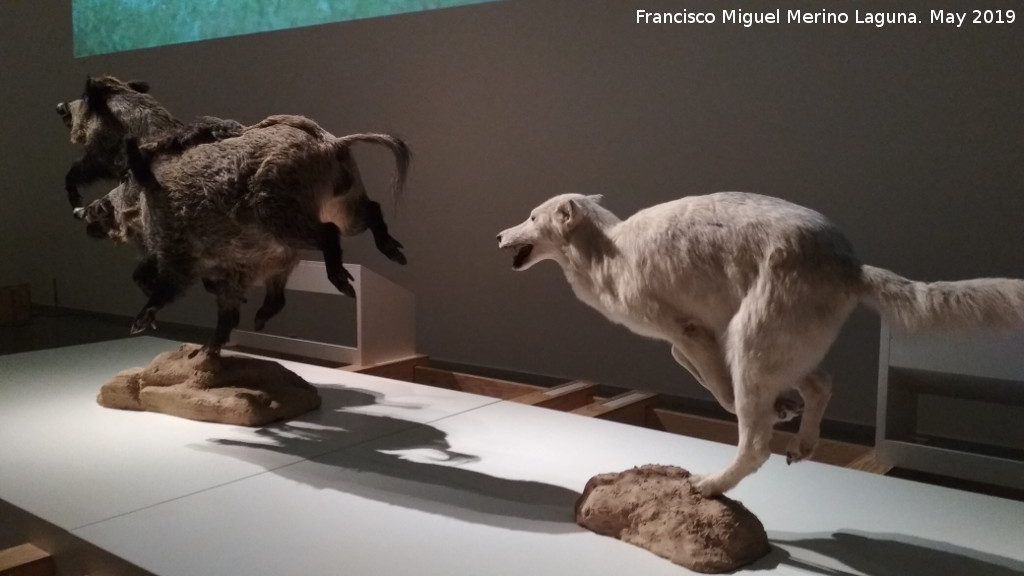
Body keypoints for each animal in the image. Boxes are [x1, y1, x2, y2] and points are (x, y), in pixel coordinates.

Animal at [495, 191, 1024, 494]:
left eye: (531, 217)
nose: (499, 235)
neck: (608, 250)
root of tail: (851, 266)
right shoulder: (695, 334)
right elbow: (690, 367)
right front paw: (784, 408)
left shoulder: (689, 330)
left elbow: (715, 385)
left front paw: (773, 411)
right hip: (774, 344)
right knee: (821, 384)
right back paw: (802, 442)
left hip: (748, 343)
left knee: (755, 445)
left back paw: (709, 485)